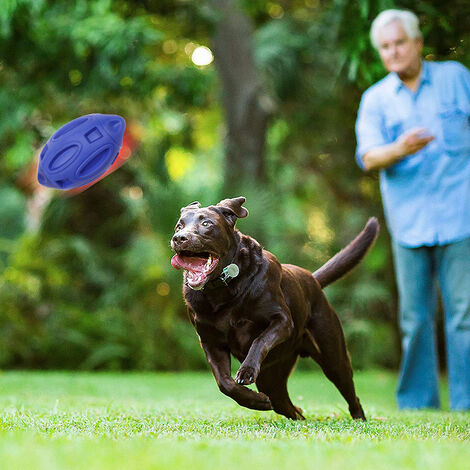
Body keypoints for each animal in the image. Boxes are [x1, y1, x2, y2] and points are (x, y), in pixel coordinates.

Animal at [171, 196, 380, 420]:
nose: (179, 238)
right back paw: (293, 411)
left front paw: (246, 371)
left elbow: (259, 340)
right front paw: (257, 401)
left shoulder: (282, 320)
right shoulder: (211, 342)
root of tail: (312, 279)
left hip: (332, 356)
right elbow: (224, 383)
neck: (223, 290)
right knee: (282, 403)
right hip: (272, 376)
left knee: (349, 391)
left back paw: (359, 418)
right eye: (179, 225)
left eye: (206, 223)